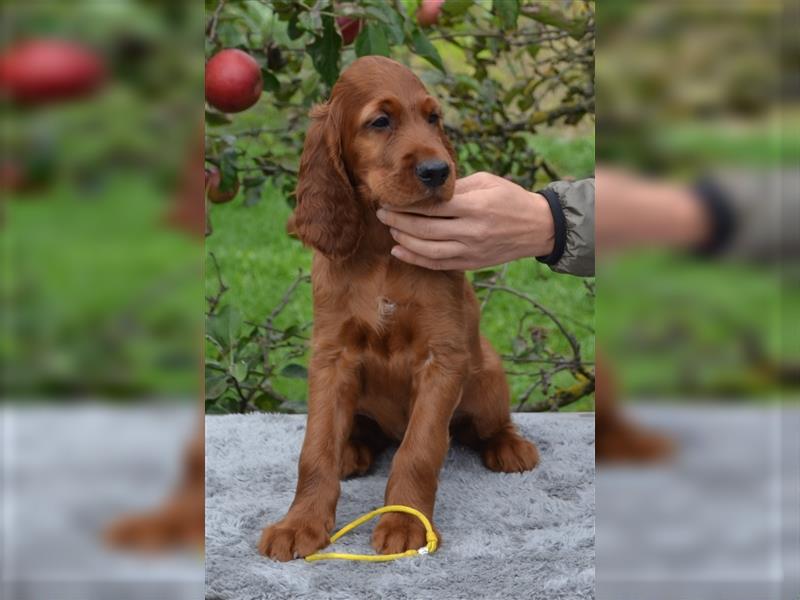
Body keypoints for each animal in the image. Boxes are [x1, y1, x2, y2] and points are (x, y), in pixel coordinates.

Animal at [260, 56, 540, 564]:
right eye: (380, 122)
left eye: (433, 119)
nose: (438, 170)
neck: (381, 249)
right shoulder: (331, 356)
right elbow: (315, 449)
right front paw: (300, 524)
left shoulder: (442, 357)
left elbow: (421, 449)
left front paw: (405, 523)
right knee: (363, 436)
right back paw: (352, 449)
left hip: (487, 377)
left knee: (485, 426)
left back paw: (509, 447)